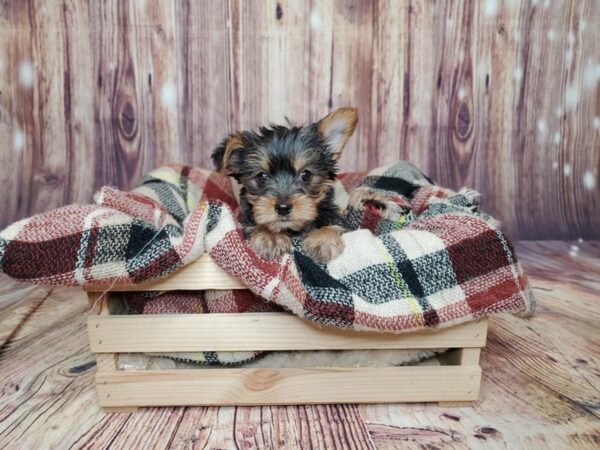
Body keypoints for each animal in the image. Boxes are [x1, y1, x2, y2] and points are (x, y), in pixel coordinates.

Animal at [213, 107, 358, 262]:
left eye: (306, 175)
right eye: (262, 176)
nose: (283, 208)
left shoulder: (333, 211)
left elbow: (333, 222)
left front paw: (322, 239)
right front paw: (271, 236)